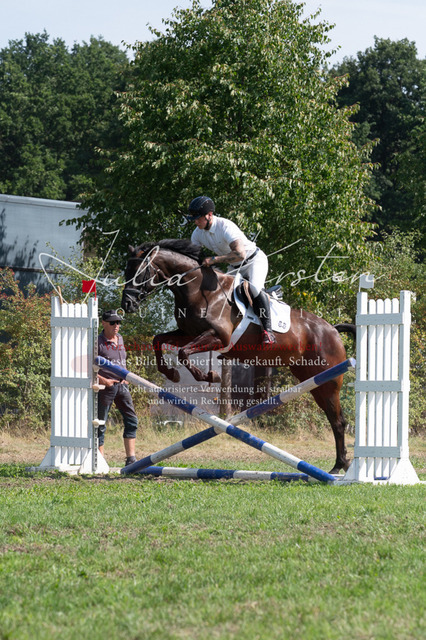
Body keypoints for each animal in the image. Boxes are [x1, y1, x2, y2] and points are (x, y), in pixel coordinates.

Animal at [121, 238, 354, 474]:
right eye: (126, 271)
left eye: (140, 272)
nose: (127, 304)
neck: (198, 290)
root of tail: (332, 330)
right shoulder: (188, 334)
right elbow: (158, 340)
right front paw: (171, 373)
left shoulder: (218, 337)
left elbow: (183, 352)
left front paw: (209, 376)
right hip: (312, 380)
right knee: (333, 417)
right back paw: (341, 464)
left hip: (329, 381)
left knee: (338, 421)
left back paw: (338, 467)